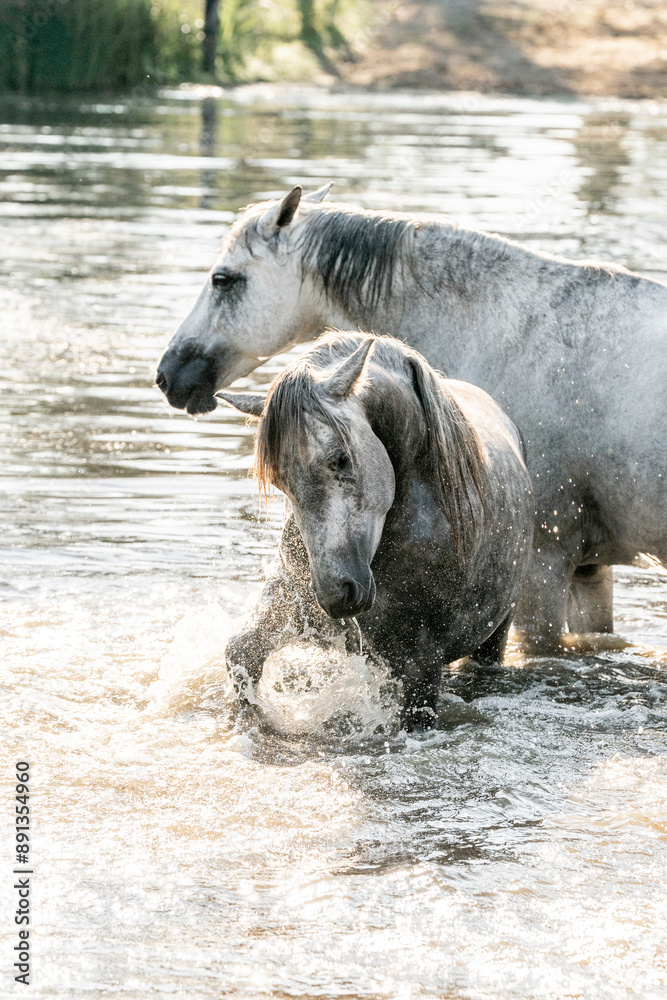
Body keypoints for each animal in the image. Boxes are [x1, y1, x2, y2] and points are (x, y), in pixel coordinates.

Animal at [217, 331, 533, 730]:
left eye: (341, 459)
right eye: (279, 482)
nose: (336, 593)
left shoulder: (420, 669)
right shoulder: (290, 608)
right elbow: (240, 655)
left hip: (496, 636)